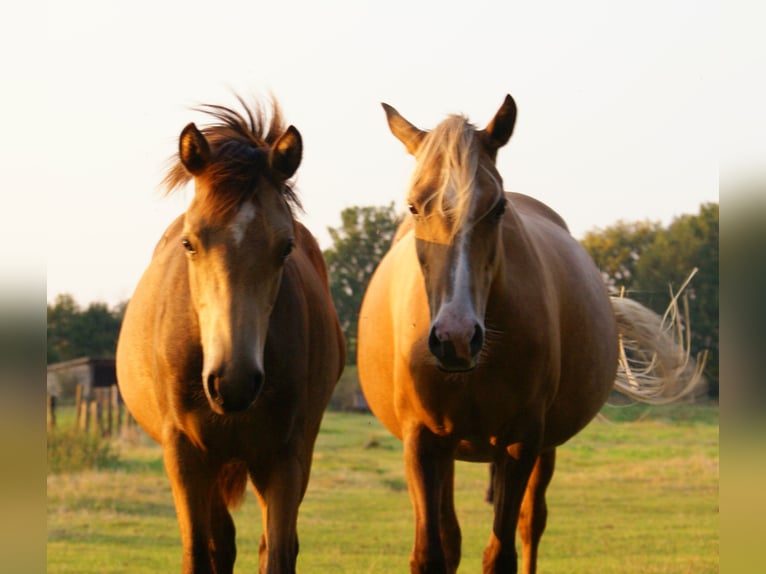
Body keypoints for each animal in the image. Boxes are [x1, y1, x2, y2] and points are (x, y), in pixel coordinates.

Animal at [117, 99, 344, 574]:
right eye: (189, 243)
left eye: (285, 247)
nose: (232, 382)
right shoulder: (186, 456)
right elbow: (199, 552)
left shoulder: (284, 457)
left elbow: (278, 552)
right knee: (221, 541)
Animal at [358, 95, 704, 574]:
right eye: (414, 207)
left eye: (498, 207)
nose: (455, 337)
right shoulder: (422, 442)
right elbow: (431, 553)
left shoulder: (521, 442)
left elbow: (501, 553)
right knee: (453, 536)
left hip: (542, 449)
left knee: (530, 525)